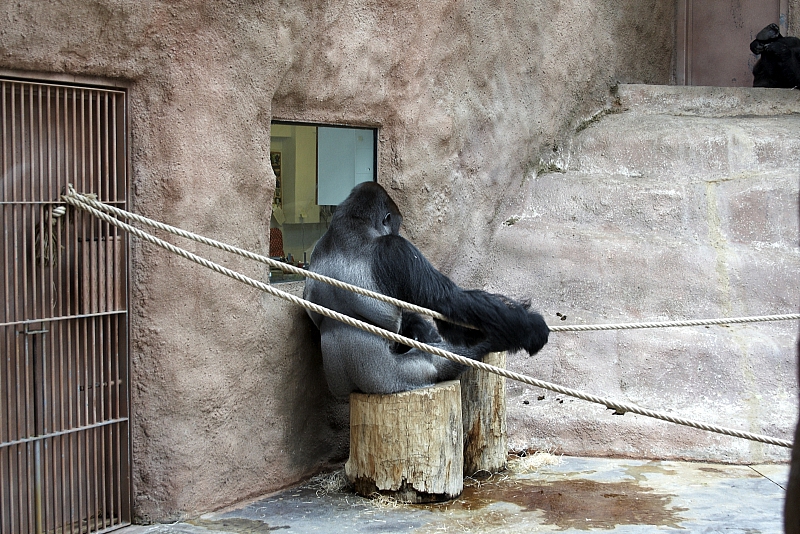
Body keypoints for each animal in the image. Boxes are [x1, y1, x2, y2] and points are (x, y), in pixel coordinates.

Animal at [302, 182, 552, 400]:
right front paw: (530, 325)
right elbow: (449, 300)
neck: (350, 224)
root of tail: (354, 389)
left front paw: (422, 328)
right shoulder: (397, 249)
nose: (399, 232)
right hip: (400, 378)